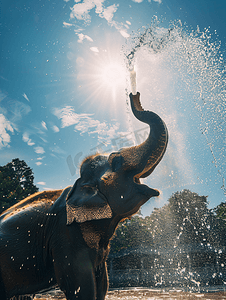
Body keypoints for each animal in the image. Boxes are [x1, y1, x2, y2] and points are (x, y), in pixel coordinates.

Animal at [0, 92, 168, 300]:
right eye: (117, 160)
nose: (133, 94)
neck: (78, 185)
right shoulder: (66, 234)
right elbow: (82, 285)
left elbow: (102, 284)